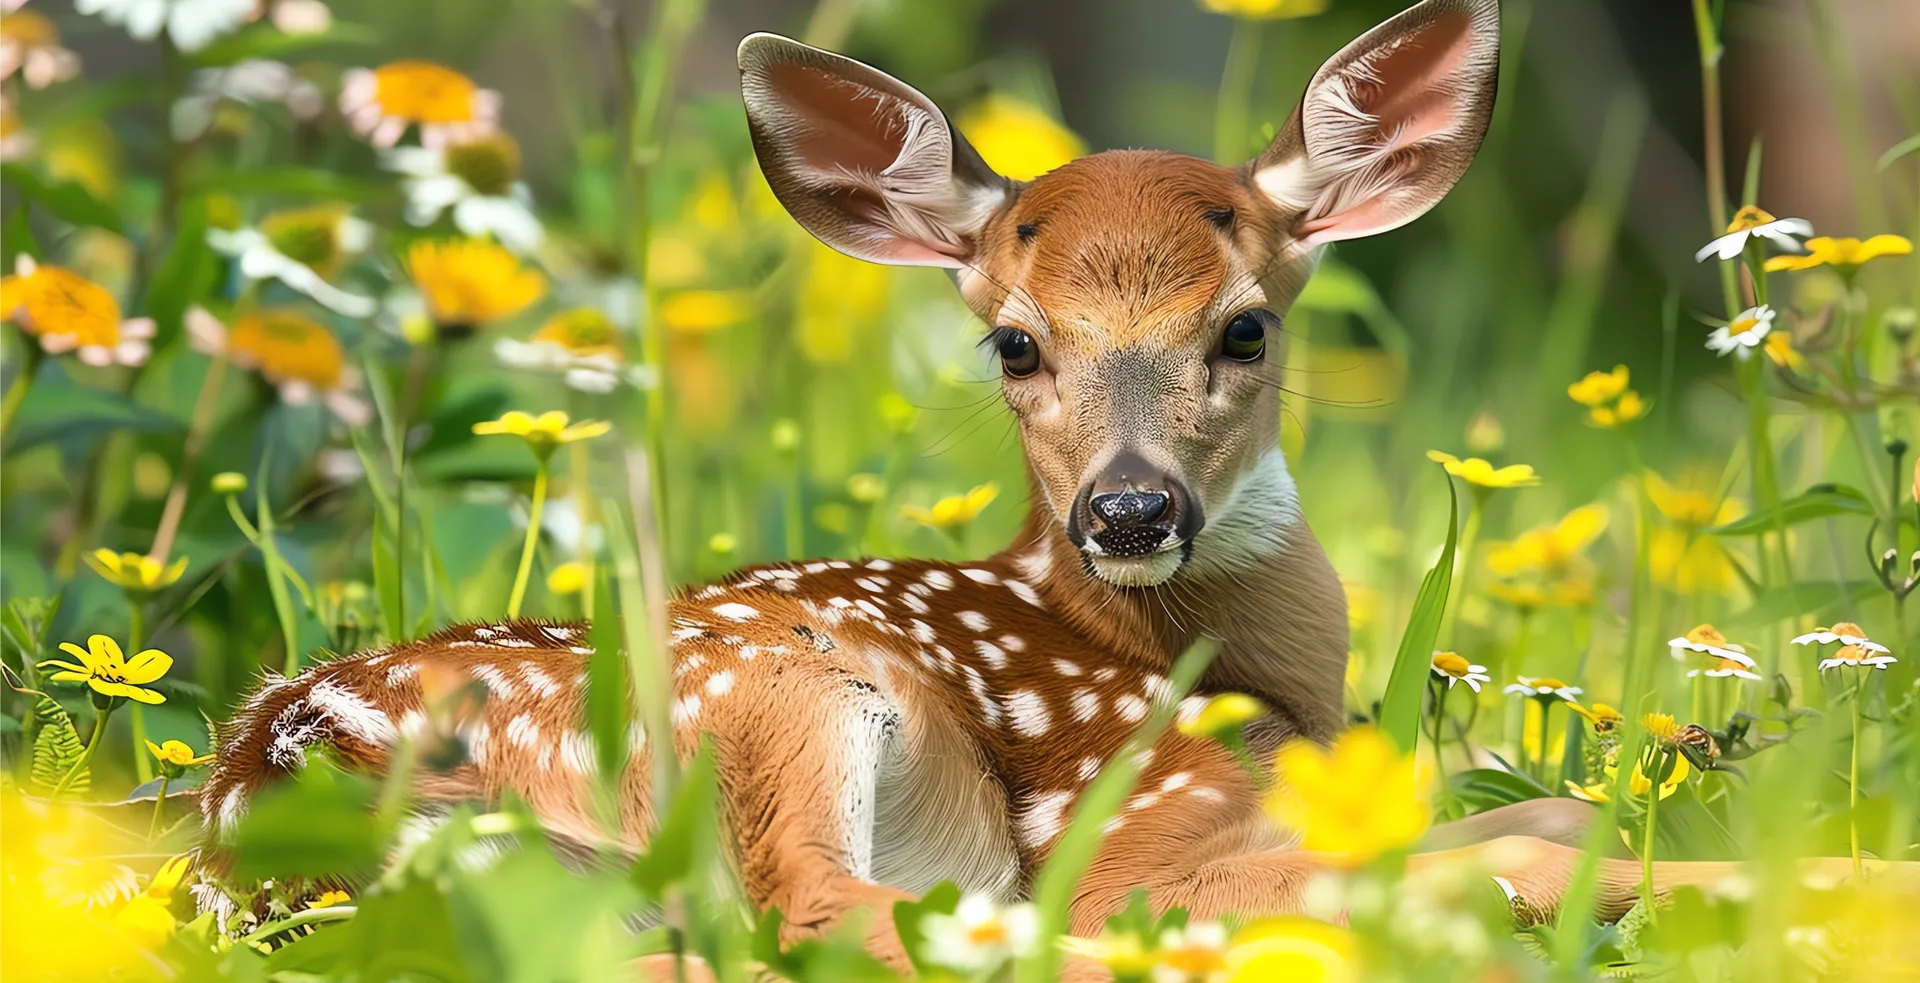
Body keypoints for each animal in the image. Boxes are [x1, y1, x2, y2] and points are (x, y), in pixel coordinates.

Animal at [197, 0, 1890, 972]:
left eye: (1245, 326)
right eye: (1015, 340)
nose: (1130, 513)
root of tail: (284, 780)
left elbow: (1560, 798)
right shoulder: (1147, 811)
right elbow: (1523, 844)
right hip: (768, 694)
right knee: (827, 910)